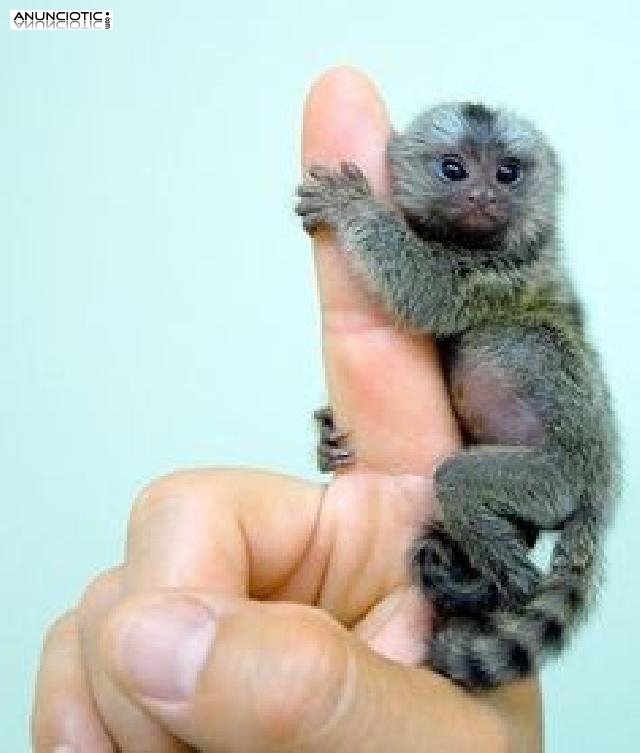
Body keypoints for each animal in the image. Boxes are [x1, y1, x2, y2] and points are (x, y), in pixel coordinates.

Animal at [295, 102, 620, 689]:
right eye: (454, 170)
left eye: (507, 173)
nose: (483, 197)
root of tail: (601, 494)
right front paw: (325, 438)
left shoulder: (503, 272)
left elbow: (426, 290)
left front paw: (351, 206)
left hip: (555, 480)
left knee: (460, 479)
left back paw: (508, 576)